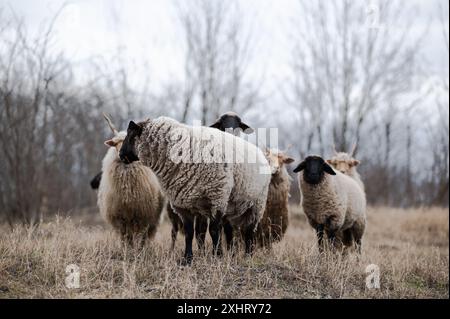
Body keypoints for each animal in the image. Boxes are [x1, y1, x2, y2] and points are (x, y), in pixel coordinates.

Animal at [96, 115, 165, 248]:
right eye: (115, 144)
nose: (121, 155)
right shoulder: (120, 218)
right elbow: (125, 238)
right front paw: (127, 250)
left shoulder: (143, 216)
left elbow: (141, 236)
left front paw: (139, 250)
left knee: (145, 235)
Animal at [118, 116, 270, 264]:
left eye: (130, 135)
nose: (120, 155)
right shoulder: (183, 204)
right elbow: (190, 232)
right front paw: (188, 258)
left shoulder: (217, 197)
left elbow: (214, 231)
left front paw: (216, 257)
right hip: (231, 205)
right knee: (228, 230)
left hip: (257, 203)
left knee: (249, 230)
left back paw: (248, 256)